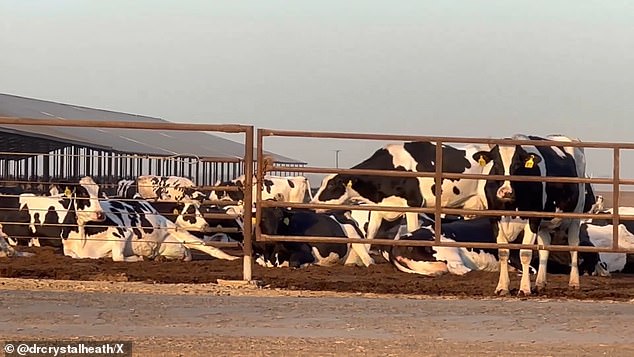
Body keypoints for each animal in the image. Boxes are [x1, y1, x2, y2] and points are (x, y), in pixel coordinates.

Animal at [472, 134, 584, 294]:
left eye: (518, 164)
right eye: (496, 163)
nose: (506, 192)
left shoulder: (533, 218)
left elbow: (525, 254)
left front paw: (524, 288)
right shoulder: (494, 218)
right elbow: (503, 253)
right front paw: (502, 287)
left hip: (576, 215)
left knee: (574, 245)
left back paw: (574, 282)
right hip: (544, 223)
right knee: (545, 247)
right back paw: (540, 283)